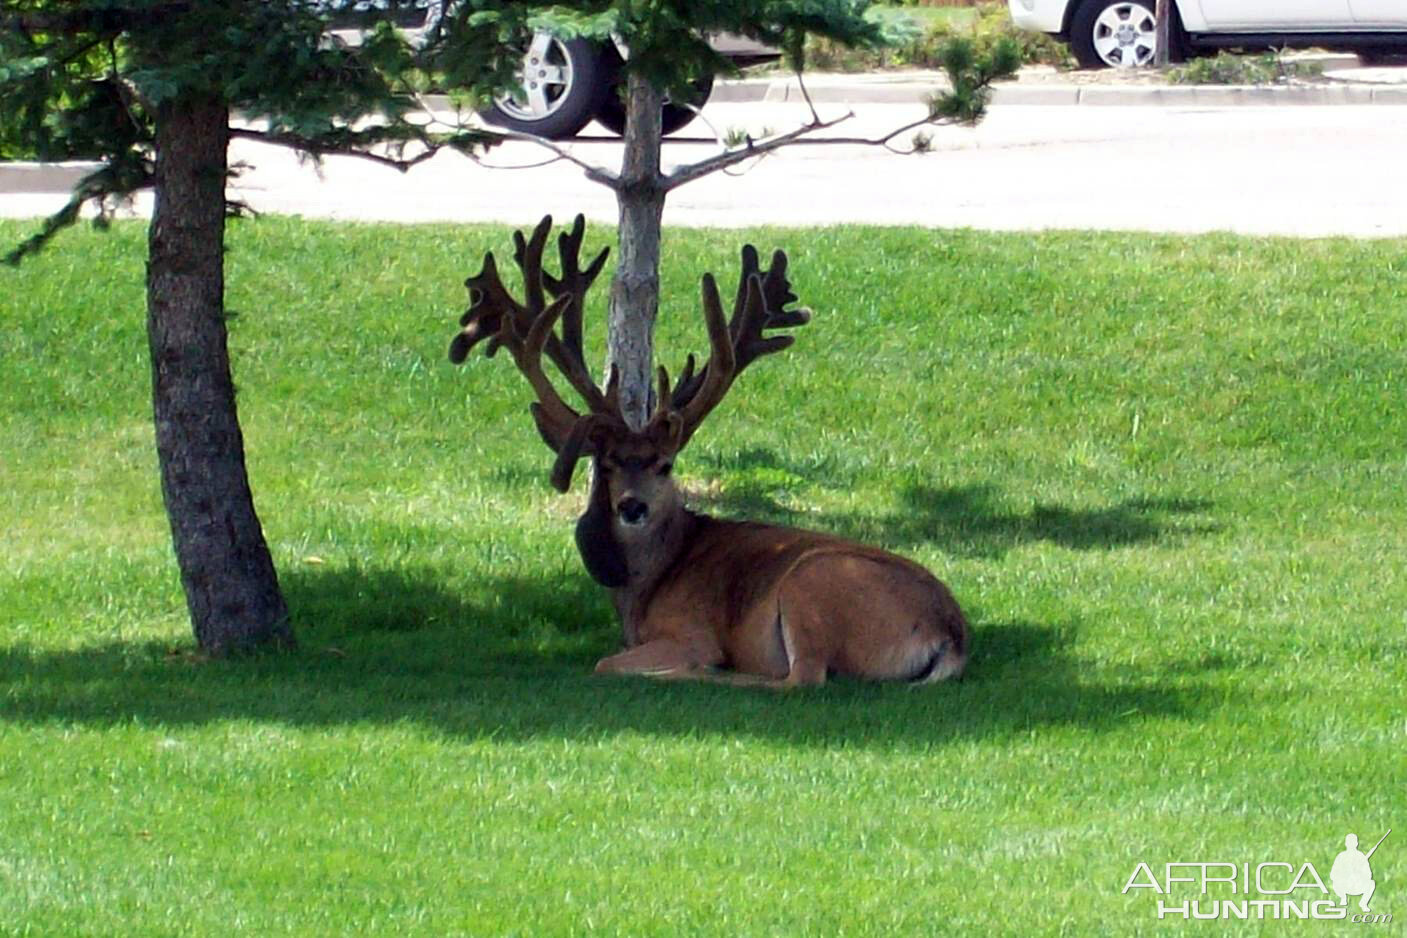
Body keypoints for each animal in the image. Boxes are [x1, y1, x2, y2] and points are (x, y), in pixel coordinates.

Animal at [450, 216, 968, 686]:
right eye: (607, 463)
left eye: (666, 464)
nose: (632, 506)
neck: (647, 586)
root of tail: (950, 633)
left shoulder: (689, 630)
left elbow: (605, 662)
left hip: (814, 584)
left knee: (801, 678)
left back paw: (707, 674)